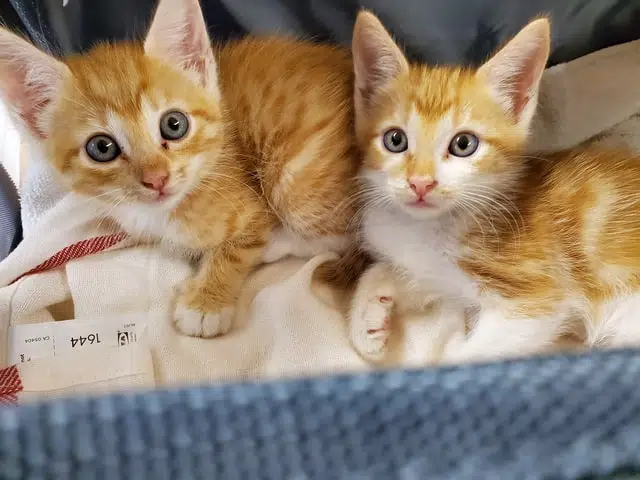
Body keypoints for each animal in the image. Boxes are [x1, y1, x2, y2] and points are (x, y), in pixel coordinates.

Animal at [0, 0, 360, 338]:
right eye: (101, 148)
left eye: (174, 125)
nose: (157, 179)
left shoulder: (252, 206)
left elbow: (243, 242)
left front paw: (206, 303)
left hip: (297, 184)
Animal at [350, 12, 640, 364]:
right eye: (395, 140)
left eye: (463, 144)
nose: (421, 182)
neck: (430, 227)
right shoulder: (435, 271)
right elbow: (391, 272)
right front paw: (367, 317)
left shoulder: (536, 295)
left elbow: (473, 356)